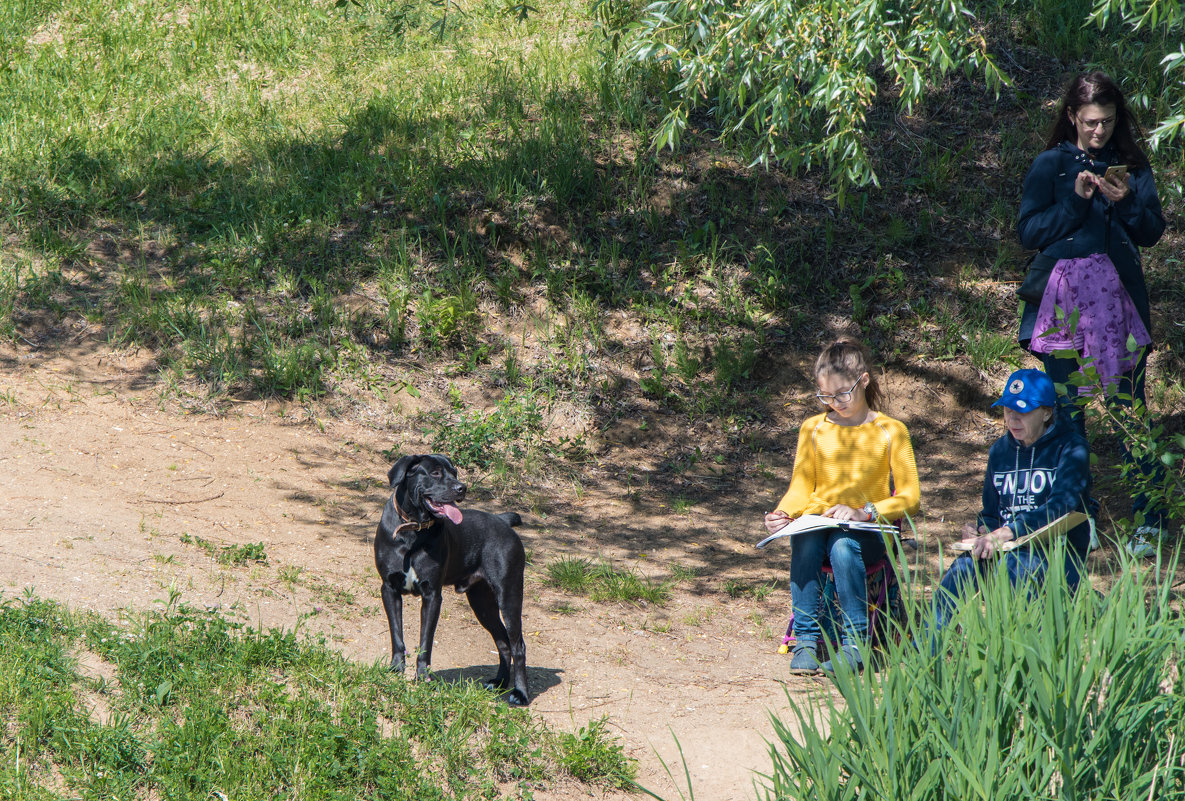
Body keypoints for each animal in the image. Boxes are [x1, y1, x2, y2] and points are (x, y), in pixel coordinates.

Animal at [372, 452, 530, 706]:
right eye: (435, 473)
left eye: (455, 473)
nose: (461, 487)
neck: (413, 530)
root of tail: (503, 521)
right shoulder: (389, 589)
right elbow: (396, 634)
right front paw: (396, 669)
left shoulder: (432, 595)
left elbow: (425, 642)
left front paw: (422, 677)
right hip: (481, 602)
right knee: (503, 642)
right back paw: (499, 683)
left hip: (510, 594)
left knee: (518, 645)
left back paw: (520, 694)